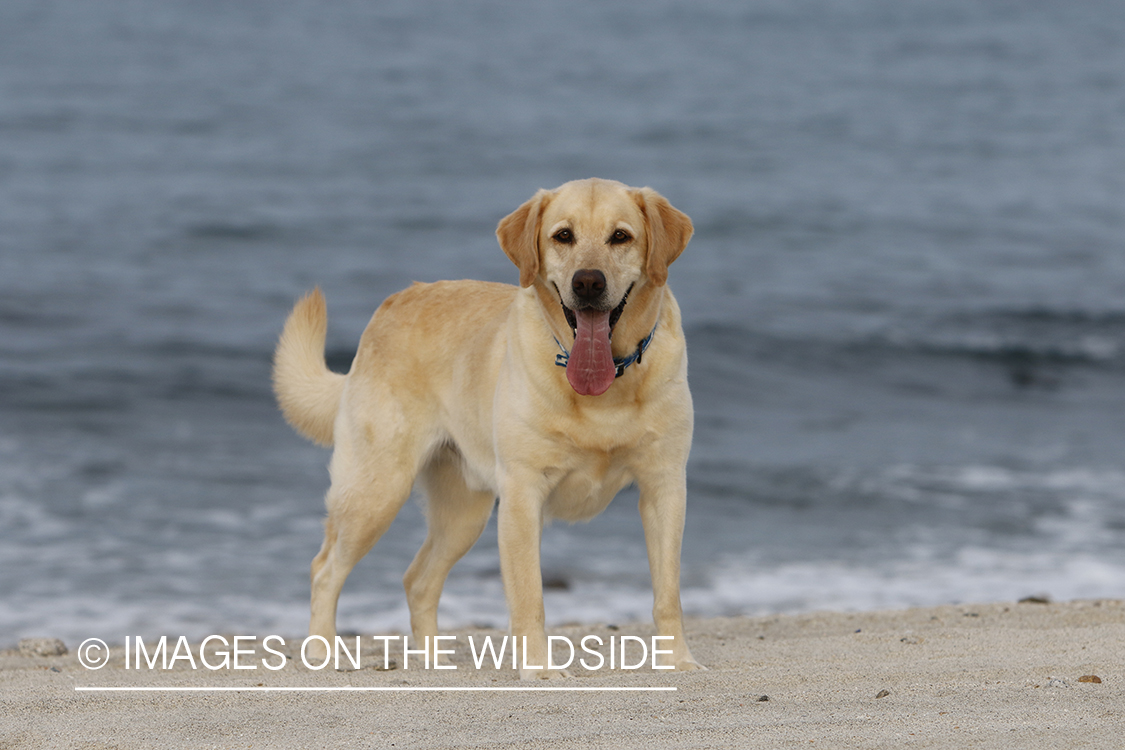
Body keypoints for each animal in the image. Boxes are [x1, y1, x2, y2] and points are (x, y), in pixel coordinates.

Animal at [272, 178, 697, 679]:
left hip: (463, 514)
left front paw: (678, 660)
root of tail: (391, 304)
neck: (605, 385)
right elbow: (530, 596)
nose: (588, 282)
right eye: (563, 236)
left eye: (620, 237)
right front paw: (539, 669)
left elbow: (668, 592)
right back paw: (322, 651)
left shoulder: (664, 487)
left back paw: (433, 660)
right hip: (376, 492)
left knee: (417, 580)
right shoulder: (522, 496)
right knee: (325, 569)